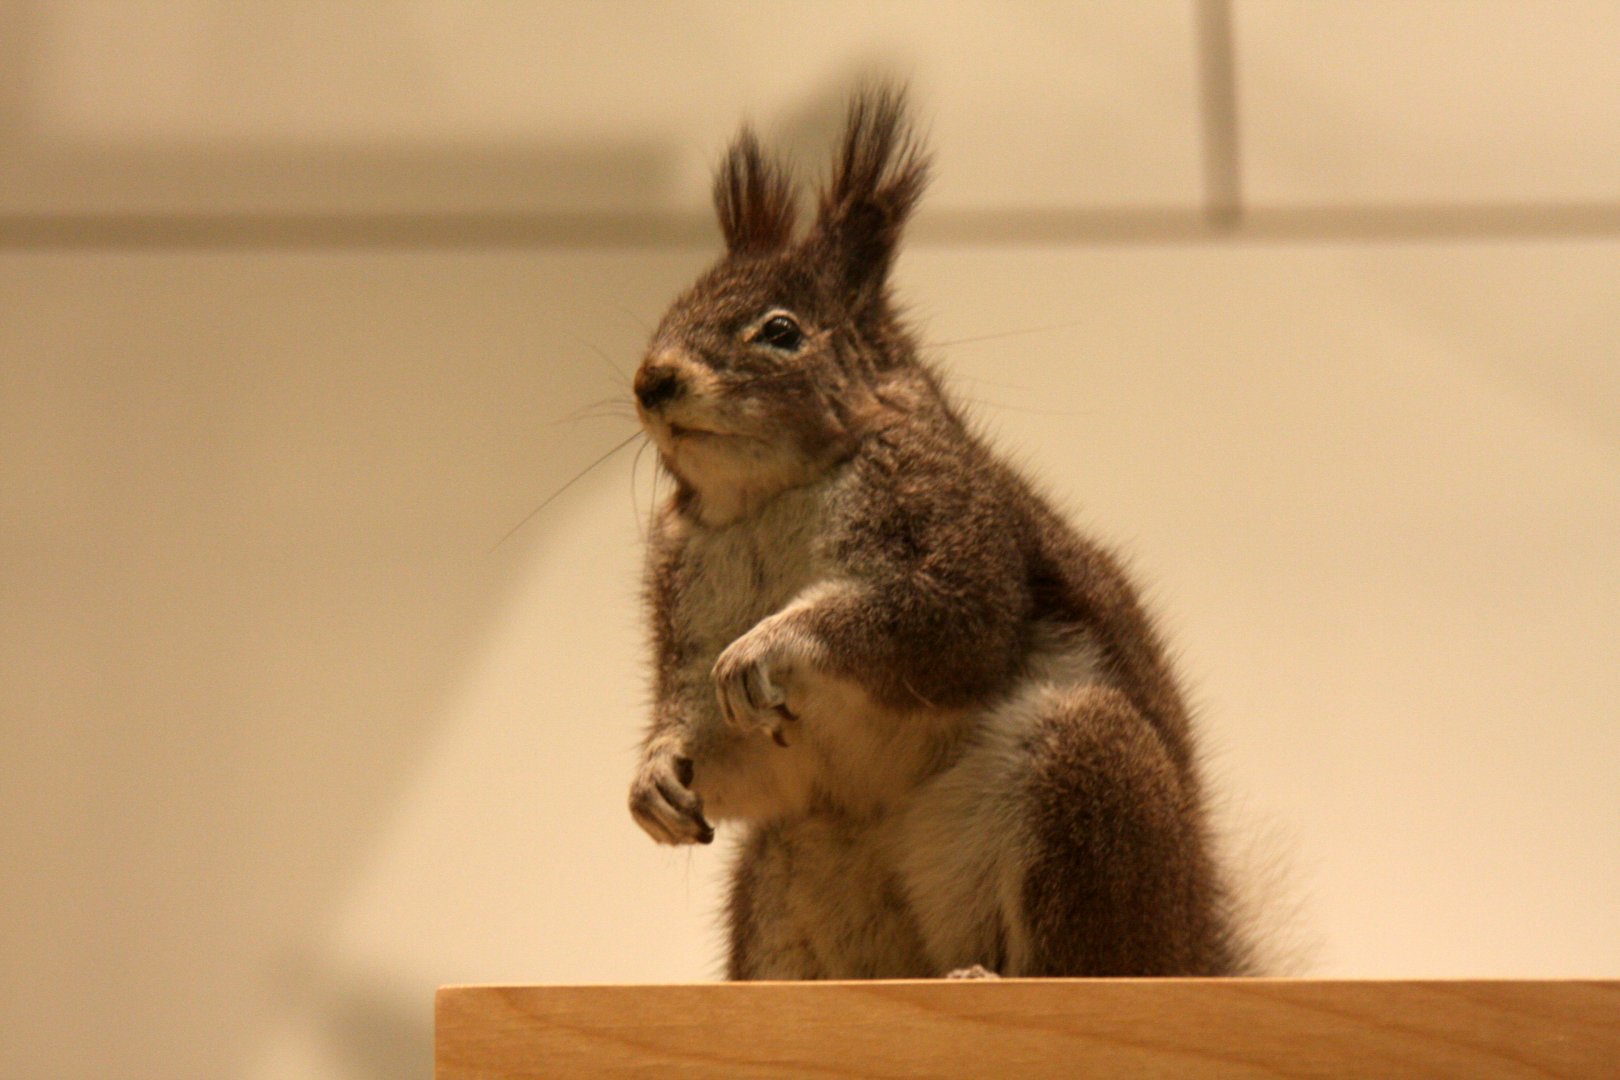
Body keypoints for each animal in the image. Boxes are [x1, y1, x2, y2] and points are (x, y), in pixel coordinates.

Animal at [627, 86, 1253, 979]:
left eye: (781, 331)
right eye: (670, 312)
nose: (653, 380)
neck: (771, 495)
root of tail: (1193, 942)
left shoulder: (952, 520)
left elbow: (952, 623)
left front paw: (774, 640)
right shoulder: (688, 594)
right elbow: (730, 750)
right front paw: (654, 774)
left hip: (1091, 782)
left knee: (1079, 955)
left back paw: (988, 974)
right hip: (794, 865)